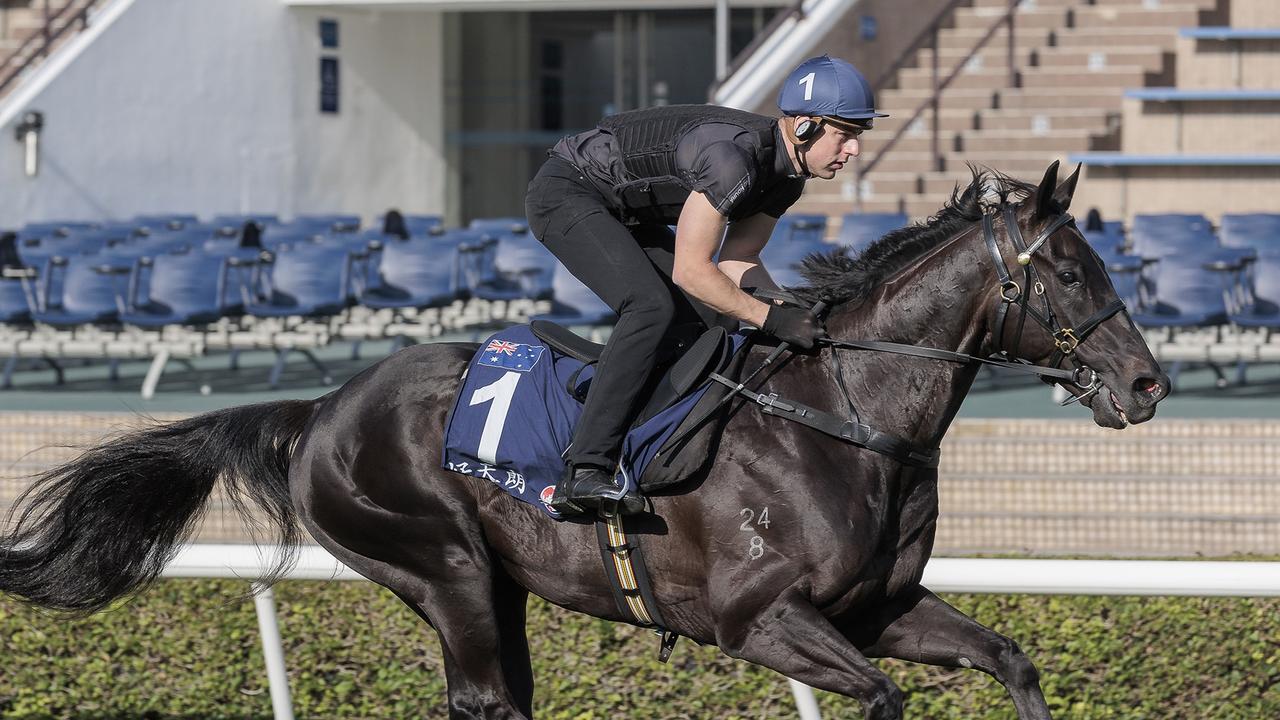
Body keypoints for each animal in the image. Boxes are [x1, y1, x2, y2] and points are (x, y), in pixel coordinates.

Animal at [0, 162, 1167, 717]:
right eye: (1071, 271)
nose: (1147, 384)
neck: (846, 418)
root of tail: (321, 409)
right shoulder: (757, 622)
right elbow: (878, 697)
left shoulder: (875, 609)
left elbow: (1010, 659)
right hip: (440, 566)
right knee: (485, 698)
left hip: (489, 585)